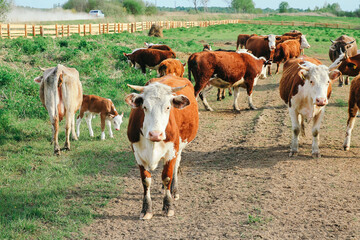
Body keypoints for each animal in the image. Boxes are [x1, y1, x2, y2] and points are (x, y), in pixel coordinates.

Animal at [126, 75, 200, 219]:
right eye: (144, 107)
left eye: (168, 107)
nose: (156, 134)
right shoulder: (137, 154)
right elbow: (146, 181)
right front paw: (146, 209)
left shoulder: (172, 151)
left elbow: (167, 177)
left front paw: (168, 206)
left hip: (179, 147)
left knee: (176, 166)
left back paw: (174, 190)